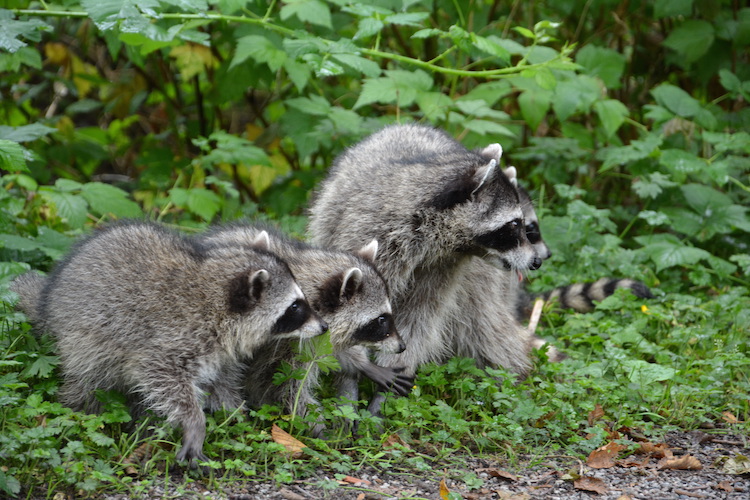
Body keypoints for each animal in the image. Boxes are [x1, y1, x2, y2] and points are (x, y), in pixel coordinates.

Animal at [8, 223, 326, 464]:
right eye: (295, 307)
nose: (323, 326)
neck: (214, 298)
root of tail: (51, 295)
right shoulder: (173, 337)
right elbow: (162, 378)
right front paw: (195, 423)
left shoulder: (221, 351)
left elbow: (222, 382)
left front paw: (234, 414)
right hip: (83, 338)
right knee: (88, 381)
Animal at [197, 222, 414, 430]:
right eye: (381, 319)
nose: (402, 346)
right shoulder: (286, 343)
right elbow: (282, 384)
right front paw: (314, 424)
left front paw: (363, 364)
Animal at [310, 123, 548, 412]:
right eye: (514, 225)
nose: (537, 261)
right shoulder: (371, 237)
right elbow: (350, 314)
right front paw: (349, 385)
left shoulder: (445, 265)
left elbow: (419, 317)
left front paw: (387, 389)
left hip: (481, 285)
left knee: (485, 325)